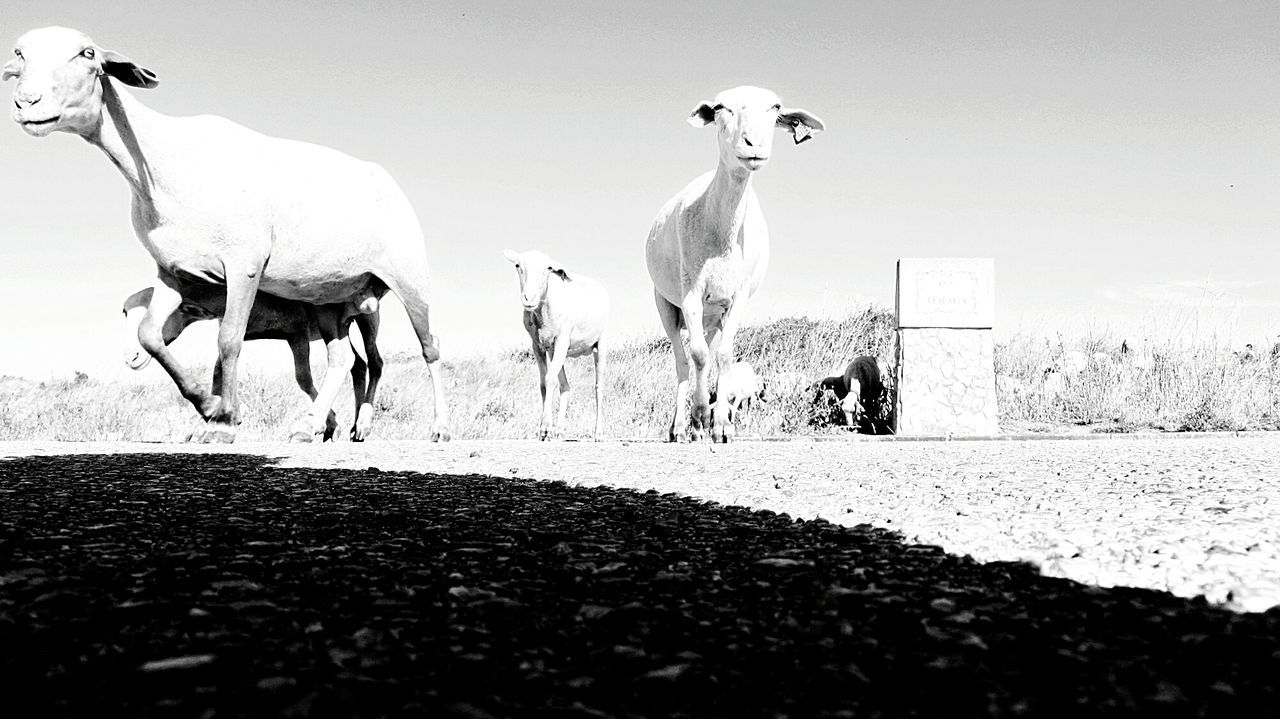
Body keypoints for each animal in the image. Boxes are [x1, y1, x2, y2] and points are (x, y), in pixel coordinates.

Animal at [121, 282, 381, 440]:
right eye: (124, 312)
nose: (130, 356)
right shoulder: (245, 332)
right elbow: (219, 370)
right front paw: (210, 422)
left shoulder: (297, 331)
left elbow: (303, 378)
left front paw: (329, 423)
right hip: (343, 325)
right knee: (359, 365)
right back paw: (356, 427)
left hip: (365, 317)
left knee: (373, 361)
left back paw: (363, 424)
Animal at [499, 249, 609, 440]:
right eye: (517, 265)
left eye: (548, 268)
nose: (529, 298)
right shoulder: (537, 346)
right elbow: (544, 383)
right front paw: (545, 429)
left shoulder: (563, 341)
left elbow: (550, 379)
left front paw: (545, 428)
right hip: (554, 350)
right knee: (565, 385)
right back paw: (560, 430)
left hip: (600, 343)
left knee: (598, 387)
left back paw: (598, 433)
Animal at [645, 86, 824, 440]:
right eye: (719, 108)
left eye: (776, 107)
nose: (753, 143)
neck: (722, 235)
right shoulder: (690, 291)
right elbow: (697, 355)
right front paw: (700, 417)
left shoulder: (738, 297)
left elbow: (724, 356)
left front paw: (720, 425)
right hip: (666, 303)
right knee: (683, 362)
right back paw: (679, 426)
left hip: (713, 315)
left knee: (708, 352)